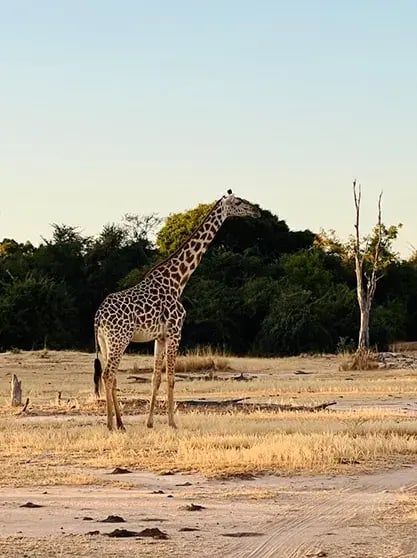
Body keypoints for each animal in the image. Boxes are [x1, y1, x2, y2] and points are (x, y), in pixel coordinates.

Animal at [93, 192, 260, 434]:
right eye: (238, 202)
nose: (257, 211)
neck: (177, 280)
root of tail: (98, 316)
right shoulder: (175, 331)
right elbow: (171, 378)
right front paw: (172, 423)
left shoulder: (160, 337)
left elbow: (156, 378)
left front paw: (150, 423)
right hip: (119, 339)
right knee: (108, 375)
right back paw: (109, 425)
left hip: (105, 342)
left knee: (111, 376)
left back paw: (121, 424)